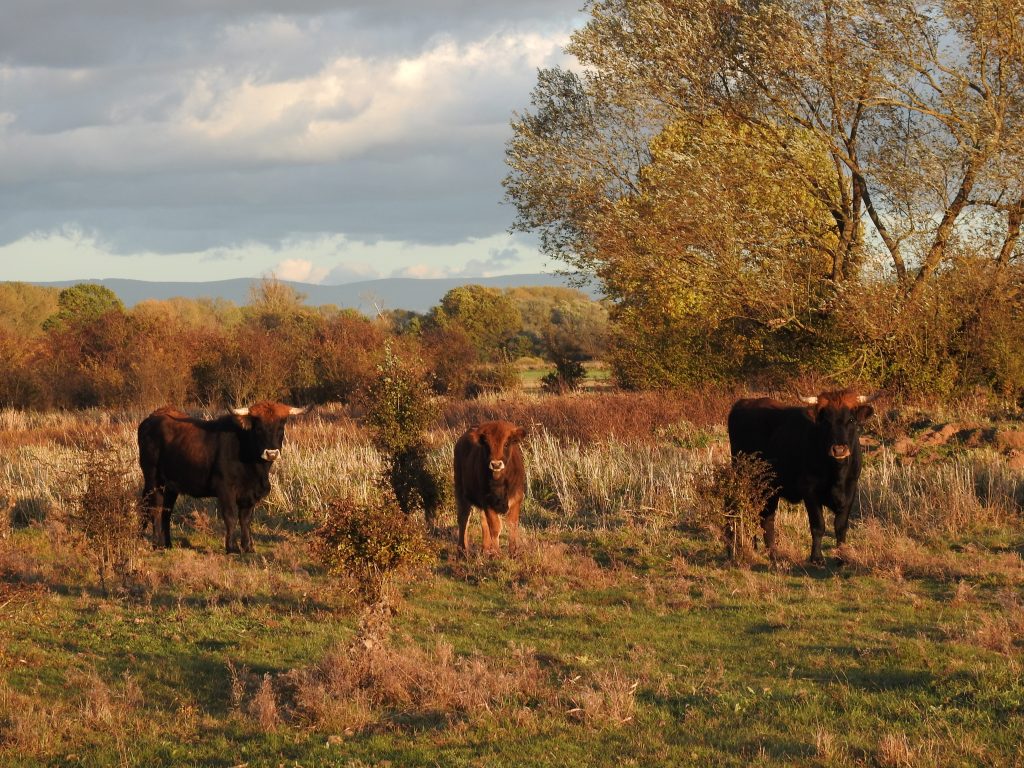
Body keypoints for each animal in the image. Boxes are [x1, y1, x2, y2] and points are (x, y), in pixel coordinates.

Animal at [138, 403, 303, 552]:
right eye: (259, 428)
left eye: (280, 428)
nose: (271, 453)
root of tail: (151, 418)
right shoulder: (225, 489)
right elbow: (231, 517)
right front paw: (232, 547)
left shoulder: (249, 494)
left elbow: (245, 519)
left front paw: (248, 547)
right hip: (153, 479)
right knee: (154, 509)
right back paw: (156, 544)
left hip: (171, 486)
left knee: (166, 511)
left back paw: (167, 544)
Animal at [456, 423, 528, 557]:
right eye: (487, 445)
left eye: (506, 443)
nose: (496, 464)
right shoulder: (487, 502)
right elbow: (495, 527)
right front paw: (497, 553)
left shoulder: (516, 500)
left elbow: (512, 525)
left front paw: (513, 552)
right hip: (460, 493)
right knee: (463, 519)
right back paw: (462, 550)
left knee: (482, 521)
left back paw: (485, 549)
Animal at [724, 391, 876, 565]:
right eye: (826, 421)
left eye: (851, 420)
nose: (839, 450)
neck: (837, 474)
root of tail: (744, 403)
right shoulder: (810, 491)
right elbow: (818, 525)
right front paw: (816, 558)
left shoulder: (851, 490)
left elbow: (840, 526)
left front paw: (842, 558)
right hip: (746, 479)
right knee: (739, 509)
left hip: (769, 488)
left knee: (766, 518)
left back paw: (772, 553)